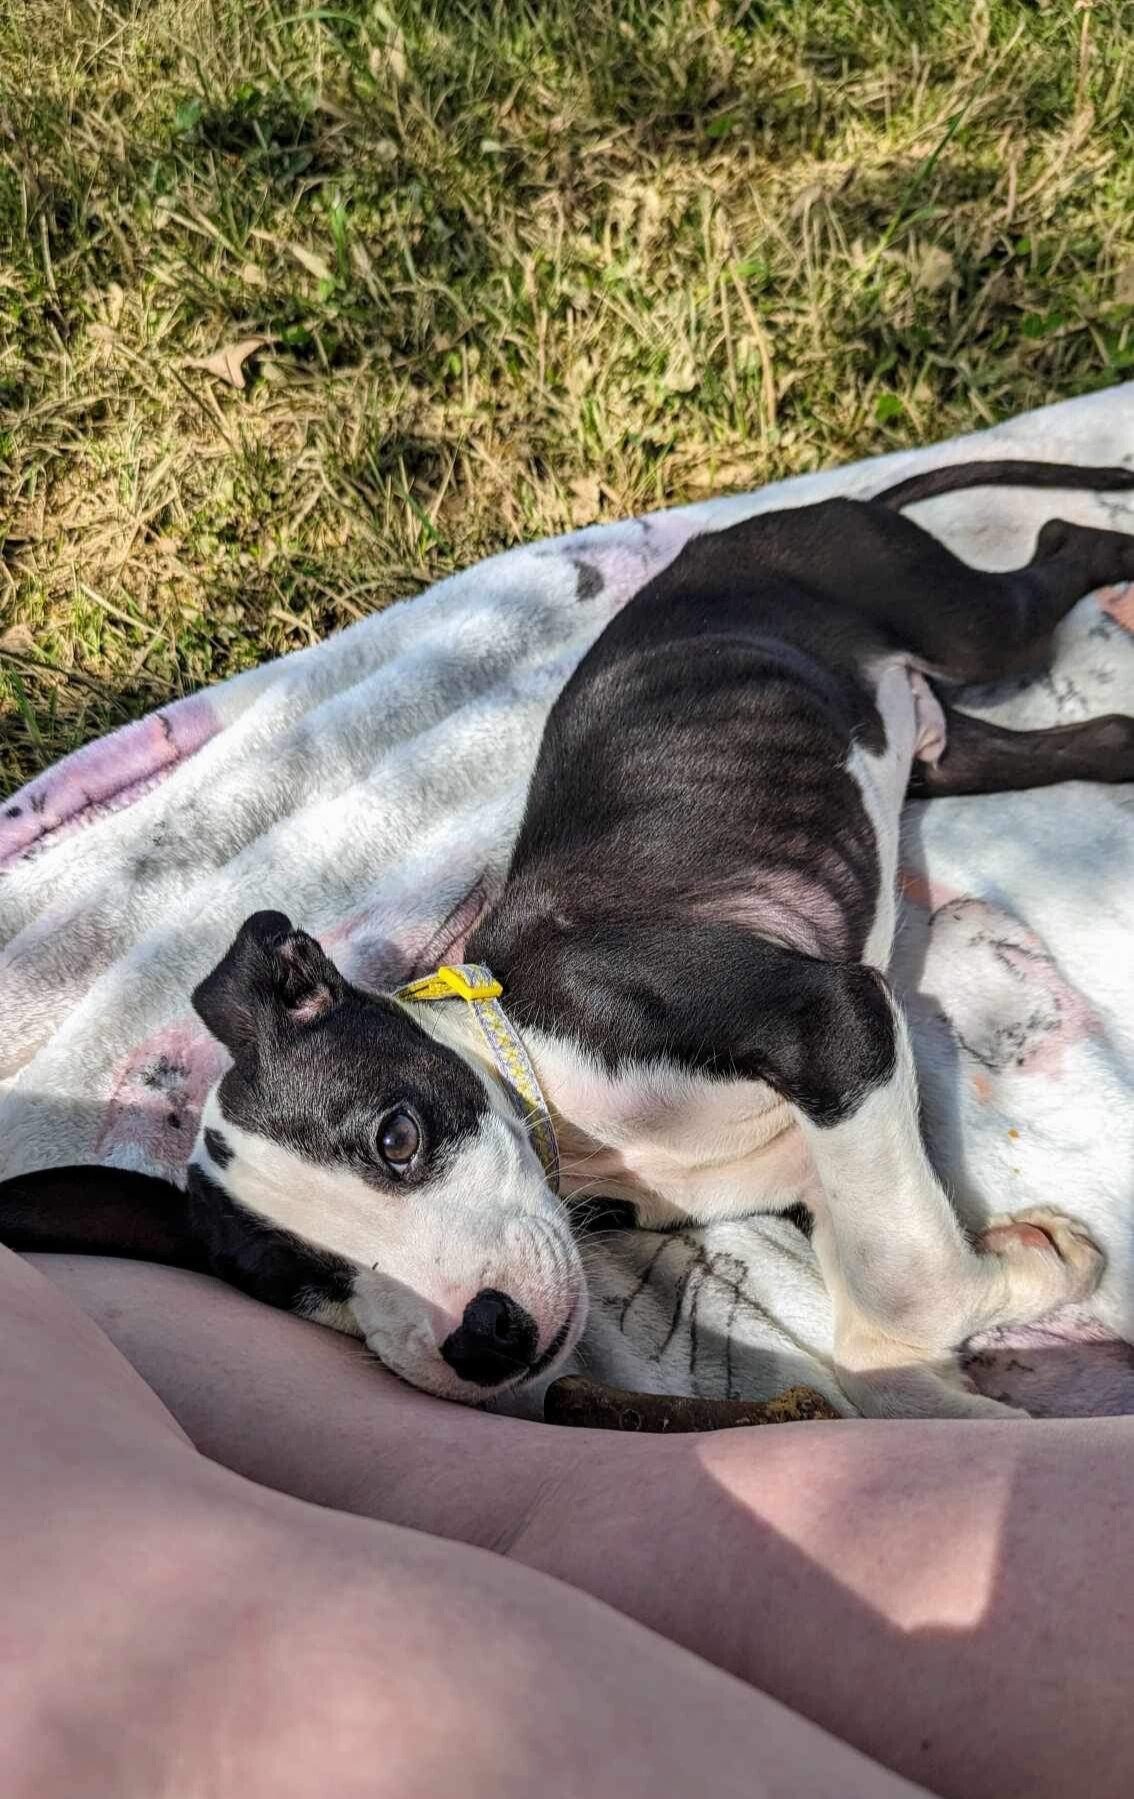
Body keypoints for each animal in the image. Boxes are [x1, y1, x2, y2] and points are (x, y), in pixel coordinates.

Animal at [6, 460, 1134, 1417]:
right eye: (294, 1286)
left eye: (396, 1139)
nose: (483, 1338)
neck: (558, 1096)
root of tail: (776, 517)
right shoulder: (822, 1153)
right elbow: (876, 1343)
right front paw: (1020, 1282)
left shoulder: (828, 1017)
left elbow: (903, 1286)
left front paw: (1047, 1264)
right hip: (943, 742)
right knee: (1090, 730)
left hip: (962, 624)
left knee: (1056, 546)